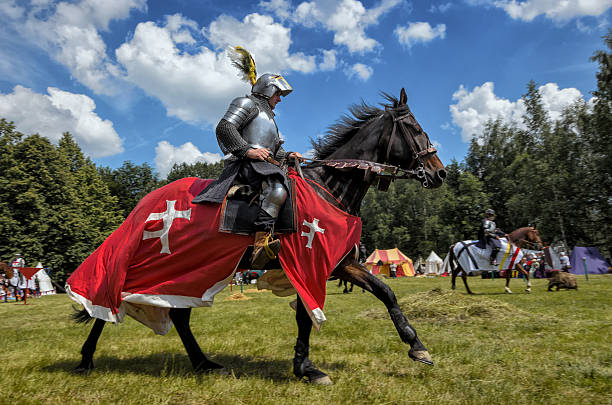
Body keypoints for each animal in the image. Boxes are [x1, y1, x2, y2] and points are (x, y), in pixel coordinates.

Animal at [73, 89, 444, 386]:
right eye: (414, 129)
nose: (439, 173)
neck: (329, 188)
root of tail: (144, 205)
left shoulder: (341, 265)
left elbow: (386, 292)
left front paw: (417, 347)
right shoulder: (307, 263)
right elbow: (306, 316)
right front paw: (307, 369)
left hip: (192, 271)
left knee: (178, 315)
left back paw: (203, 363)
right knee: (111, 296)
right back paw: (86, 358)